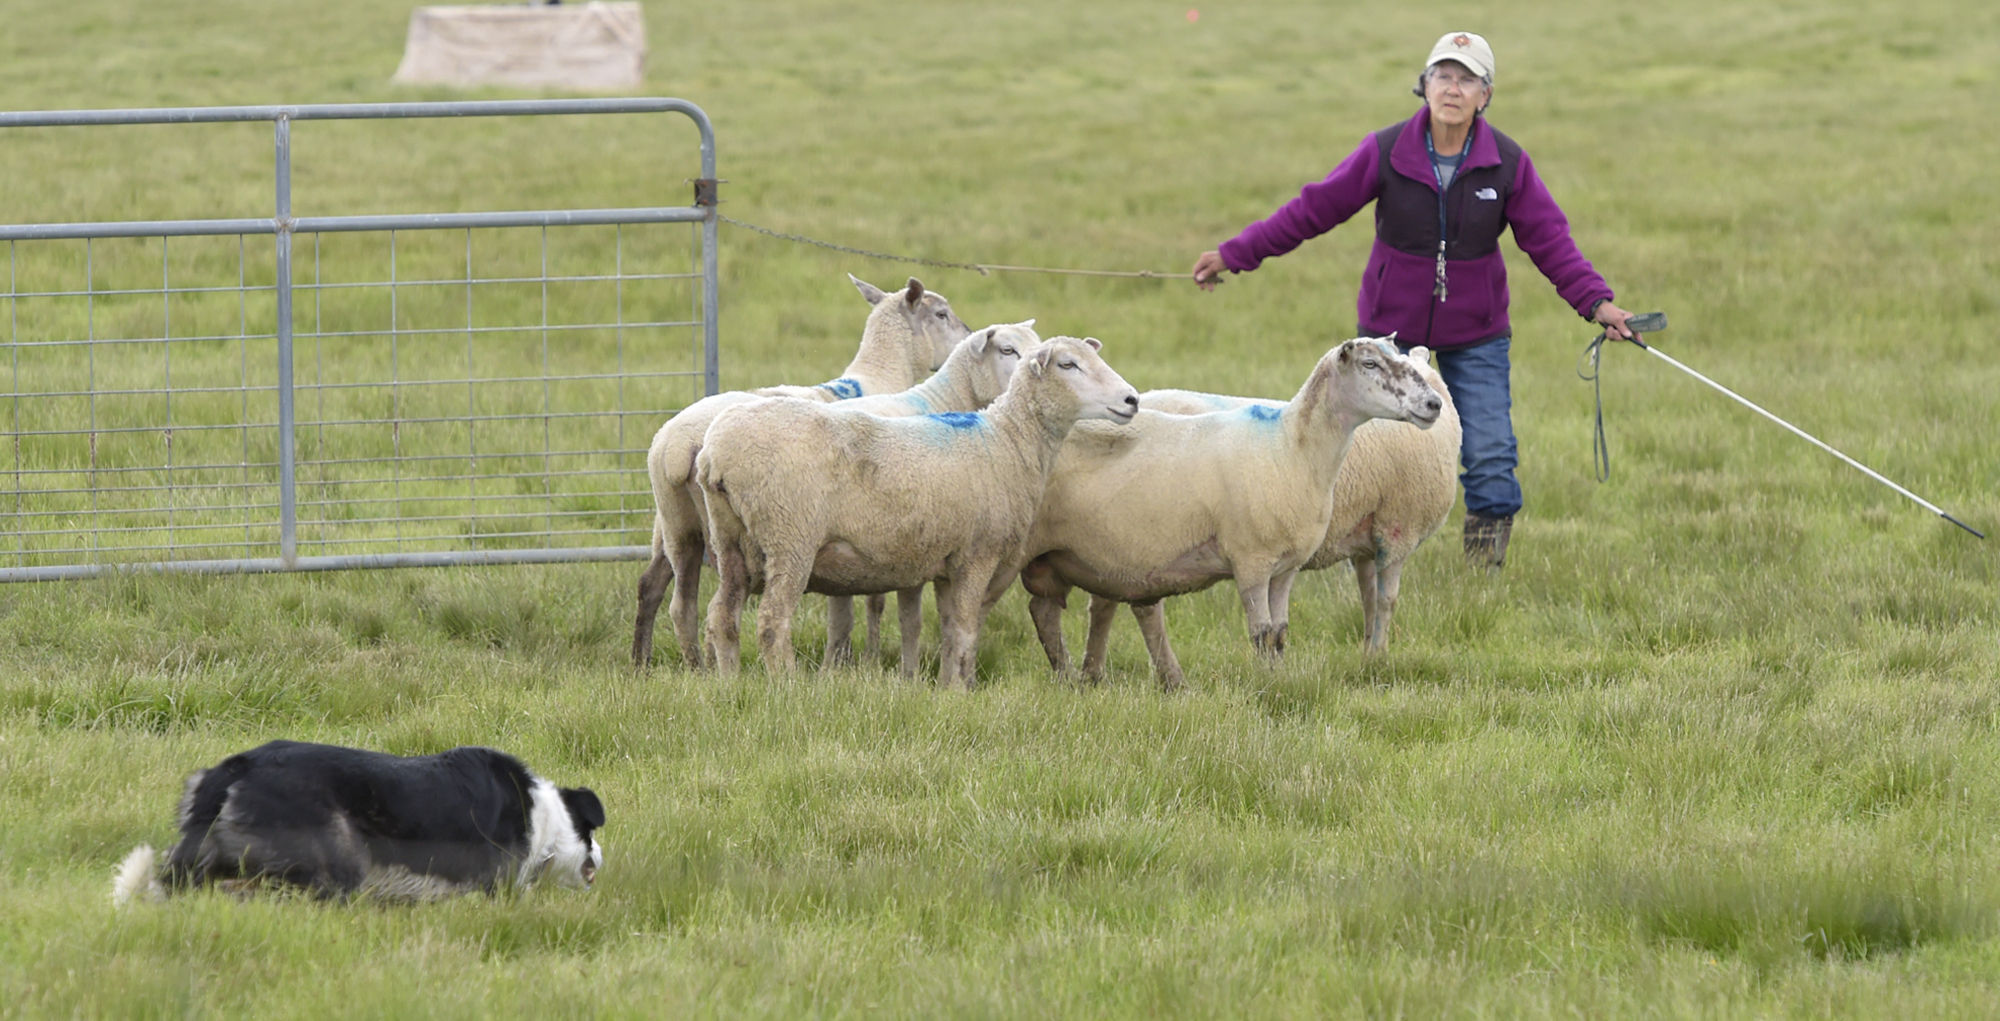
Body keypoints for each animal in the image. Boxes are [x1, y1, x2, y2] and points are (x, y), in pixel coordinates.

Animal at [631, 275, 970, 669]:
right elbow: (874, 597)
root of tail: (674, 444)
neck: (880, 377)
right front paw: (866, 656)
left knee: (664, 593)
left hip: (676, 523)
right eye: (942, 314)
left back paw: (657, 665)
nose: (968, 335)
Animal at [696, 336, 1140, 690]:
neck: (1008, 442)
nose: (1132, 400)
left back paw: (728, 682)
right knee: (773, 620)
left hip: (729, 537)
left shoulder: (947, 563)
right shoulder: (976, 555)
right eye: (1068, 365)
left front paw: (944, 686)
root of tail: (715, 453)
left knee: (721, 614)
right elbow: (966, 632)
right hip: (791, 533)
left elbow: (948, 632)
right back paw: (786, 685)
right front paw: (959, 693)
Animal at [1015, 337, 1443, 691]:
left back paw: (1076, 677)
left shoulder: (1285, 567)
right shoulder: (1250, 561)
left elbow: (1280, 633)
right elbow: (1261, 633)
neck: (1291, 448)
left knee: (1045, 610)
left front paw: (1279, 678)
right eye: (1370, 363)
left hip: (1064, 556)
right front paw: (1265, 686)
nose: (1434, 404)